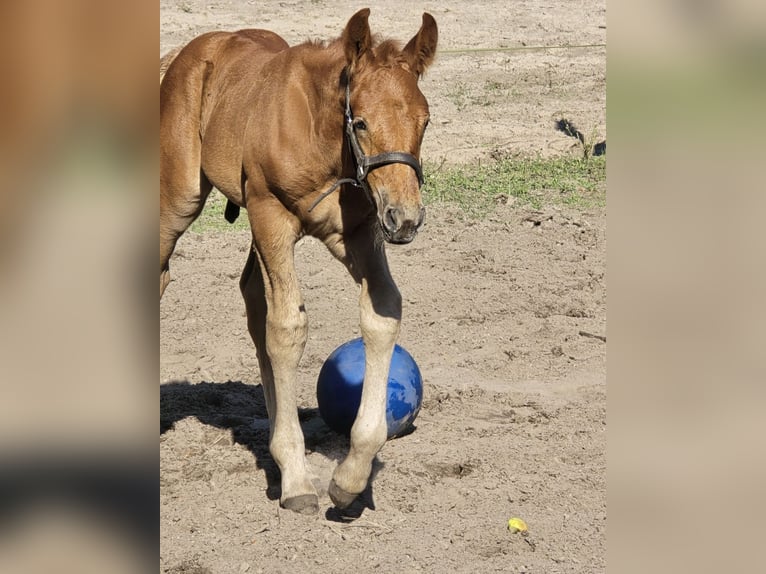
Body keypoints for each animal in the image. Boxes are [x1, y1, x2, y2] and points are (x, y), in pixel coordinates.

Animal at [160, 8, 438, 515]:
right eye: (361, 122)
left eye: (425, 121)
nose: (405, 218)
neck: (324, 143)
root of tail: (186, 52)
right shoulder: (271, 215)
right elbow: (288, 328)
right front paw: (295, 479)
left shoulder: (359, 233)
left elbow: (382, 312)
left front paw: (349, 477)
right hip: (180, 200)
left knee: (252, 297)